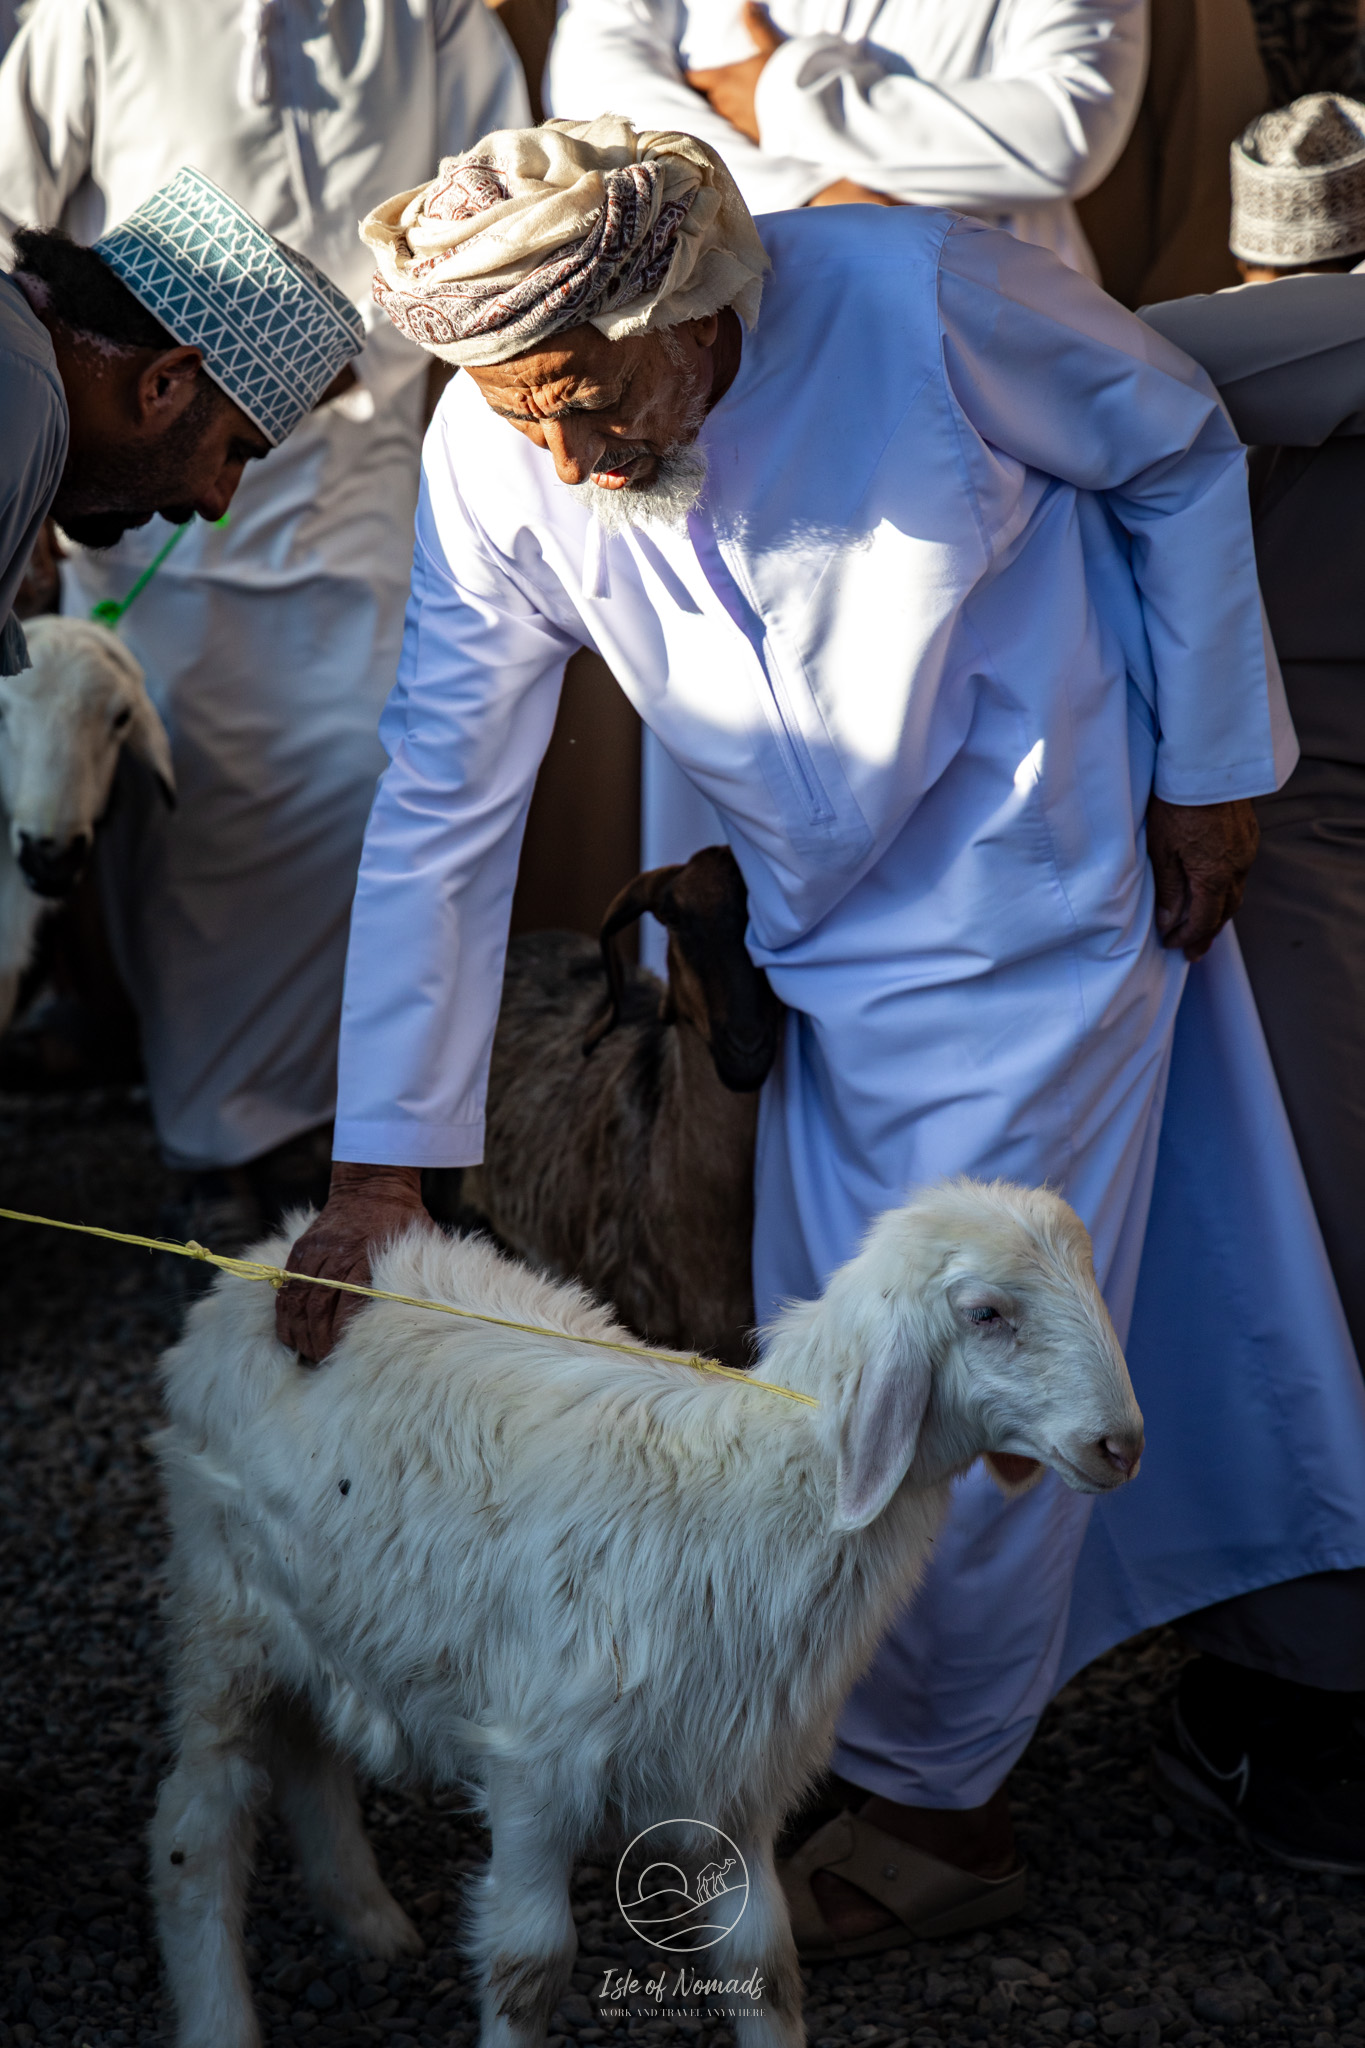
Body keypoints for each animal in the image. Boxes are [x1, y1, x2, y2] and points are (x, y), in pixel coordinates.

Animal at [151, 1176, 1144, 2048]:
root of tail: (264, 1257)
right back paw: (220, 2017)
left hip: (316, 1610)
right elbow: (528, 1966)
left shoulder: (740, 1775)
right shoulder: (533, 1763)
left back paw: (364, 1918)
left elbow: (764, 1964)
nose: (1123, 1446)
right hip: (222, 1606)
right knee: (198, 1831)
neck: (739, 1499)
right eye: (985, 1314)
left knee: (309, 1753)